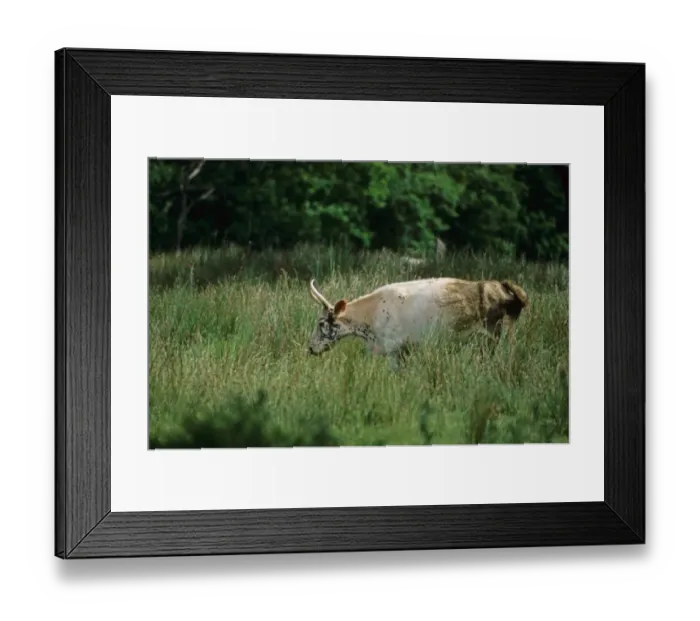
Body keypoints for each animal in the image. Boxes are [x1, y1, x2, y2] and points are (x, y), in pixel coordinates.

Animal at [307, 276, 529, 368]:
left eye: (321, 323)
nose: (310, 348)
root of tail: (499, 286)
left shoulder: (393, 349)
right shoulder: (406, 350)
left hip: (493, 336)